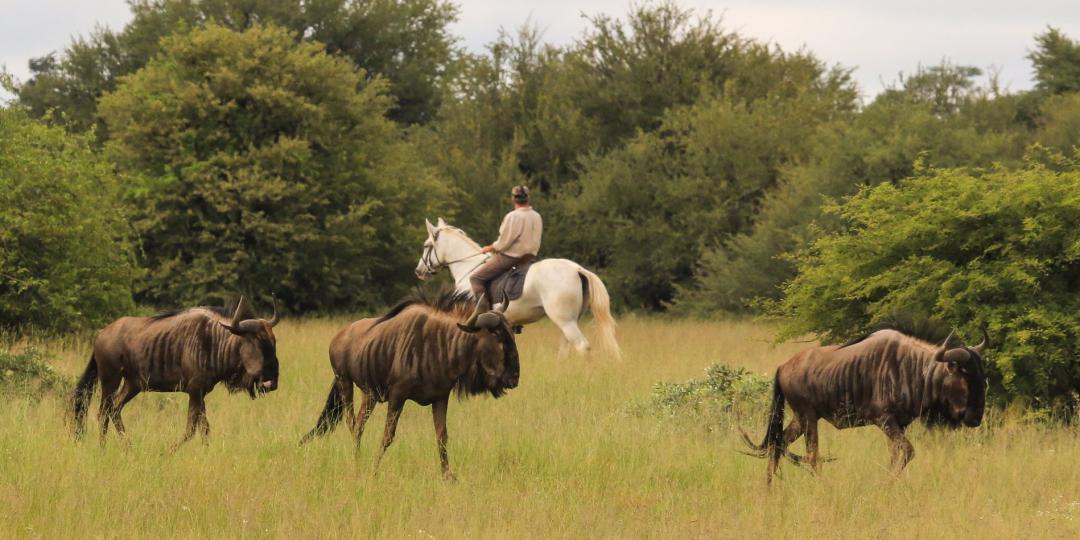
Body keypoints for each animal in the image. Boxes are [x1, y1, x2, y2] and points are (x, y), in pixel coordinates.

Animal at [412, 217, 622, 360]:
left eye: (426, 245)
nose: (419, 271)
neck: (468, 266)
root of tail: (577, 269)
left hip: (565, 321)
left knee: (582, 346)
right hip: (571, 320)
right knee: (567, 349)